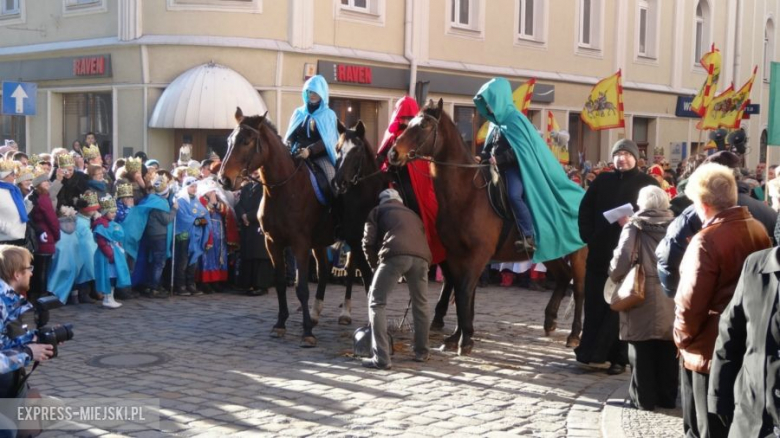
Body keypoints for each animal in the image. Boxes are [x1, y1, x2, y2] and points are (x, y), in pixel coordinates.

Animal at [218, 108, 334, 348]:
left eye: (246, 141)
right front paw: (280, 324)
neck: (284, 189)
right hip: (319, 242)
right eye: (229, 140)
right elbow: (280, 283)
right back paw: (316, 314)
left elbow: (301, 288)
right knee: (324, 270)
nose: (224, 179)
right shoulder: (273, 242)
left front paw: (307, 332)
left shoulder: (300, 244)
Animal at [390, 99, 584, 356]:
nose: (393, 153)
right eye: (409, 122)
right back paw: (550, 319)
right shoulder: (456, 255)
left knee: (579, 288)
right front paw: (458, 336)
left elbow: (463, 291)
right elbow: (463, 293)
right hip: (551, 250)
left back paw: (574, 335)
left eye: (423, 125)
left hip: (579, 252)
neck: (467, 195)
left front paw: (464, 340)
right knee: (564, 276)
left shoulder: (478, 255)